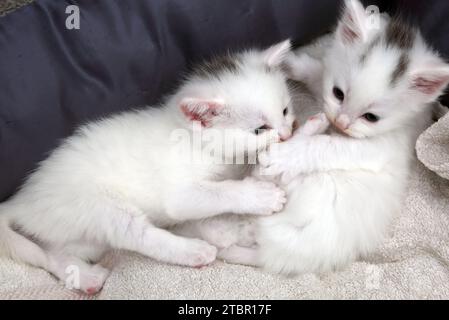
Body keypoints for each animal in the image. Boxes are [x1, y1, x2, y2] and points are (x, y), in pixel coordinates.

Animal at [0, 39, 296, 292]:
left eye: (285, 111)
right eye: (259, 129)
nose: (286, 134)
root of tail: (24, 198)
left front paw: (222, 225)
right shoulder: (179, 192)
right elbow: (217, 192)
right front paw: (259, 196)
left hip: (83, 236)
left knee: (51, 253)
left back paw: (82, 276)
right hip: (97, 205)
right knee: (136, 234)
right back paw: (194, 251)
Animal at [180, 0, 448, 276]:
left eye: (371, 117)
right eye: (338, 93)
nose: (340, 122)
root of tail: (276, 255)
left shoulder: (381, 147)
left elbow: (328, 145)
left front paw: (288, 154)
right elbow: (317, 72)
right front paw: (291, 62)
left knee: (262, 176)